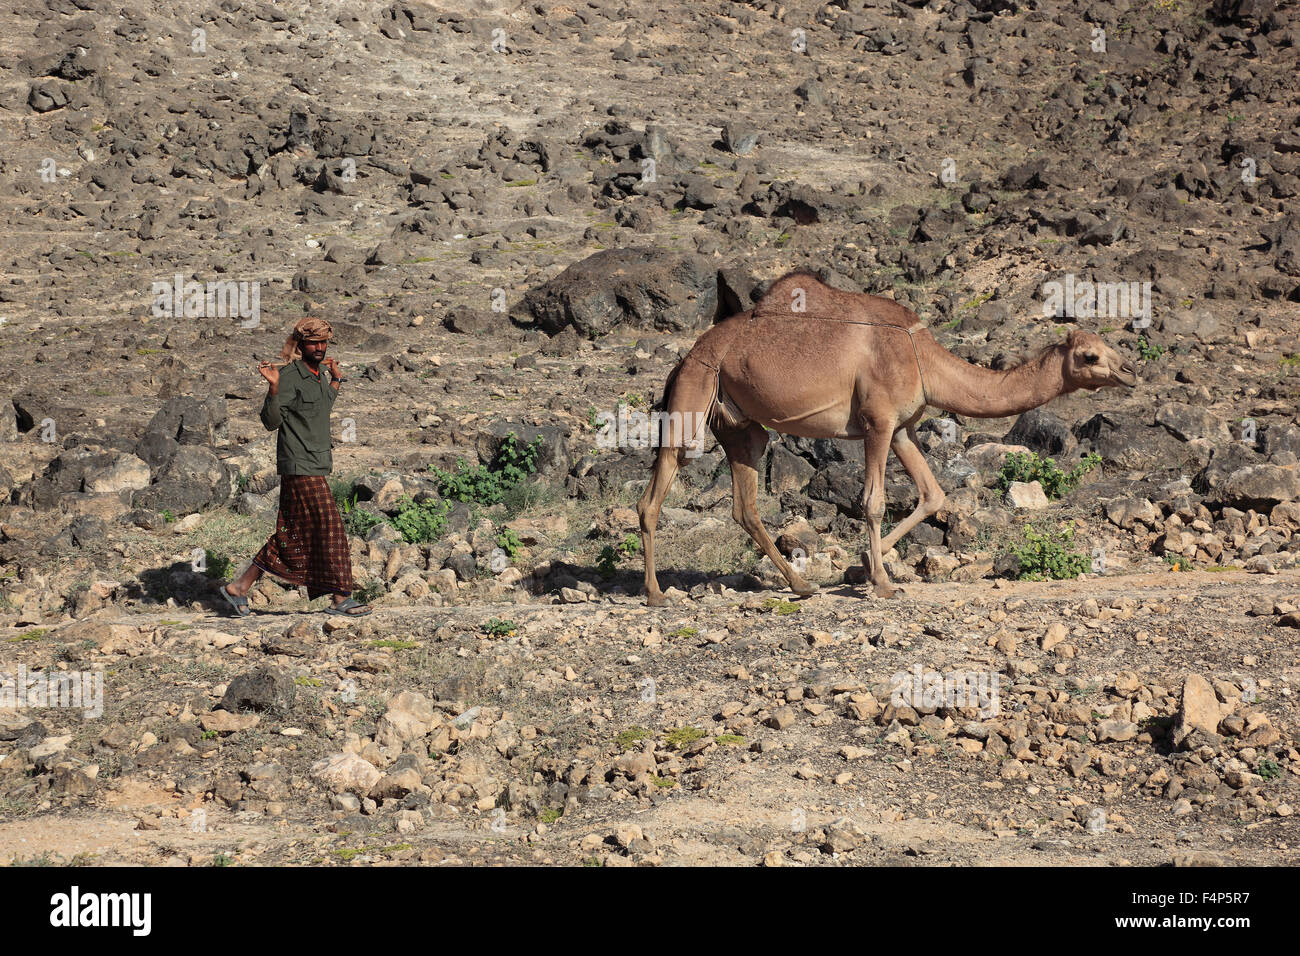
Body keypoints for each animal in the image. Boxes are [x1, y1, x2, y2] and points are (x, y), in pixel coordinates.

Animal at [634, 273, 1133, 608]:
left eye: (1110, 348)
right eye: (1091, 356)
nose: (1129, 371)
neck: (923, 358)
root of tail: (684, 358)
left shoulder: (902, 428)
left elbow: (933, 495)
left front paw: (860, 566)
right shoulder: (876, 421)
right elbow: (872, 501)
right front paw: (883, 583)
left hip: (739, 425)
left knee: (745, 504)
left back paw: (801, 585)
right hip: (695, 392)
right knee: (655, 492)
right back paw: (657, 594)